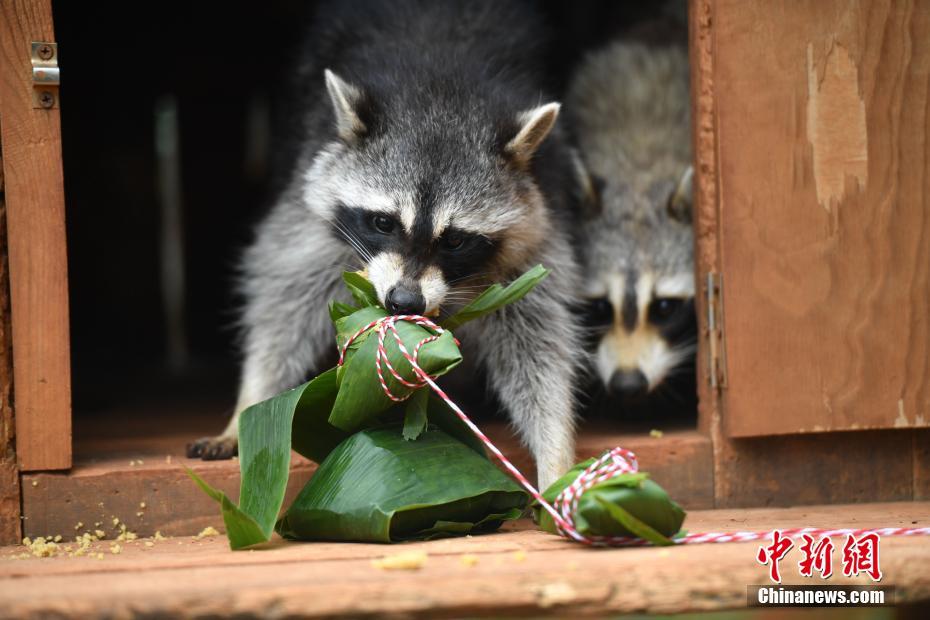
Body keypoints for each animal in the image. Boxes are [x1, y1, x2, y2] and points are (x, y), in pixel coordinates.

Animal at [185, 0, 580, 490]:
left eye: (454, 240)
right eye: (383, 222)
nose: (404, 302)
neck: (442, 97)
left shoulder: (539, 224)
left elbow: (537, 339)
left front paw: (555, 453)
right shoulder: (311, 201)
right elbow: (287, 294)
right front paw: (252, 397)